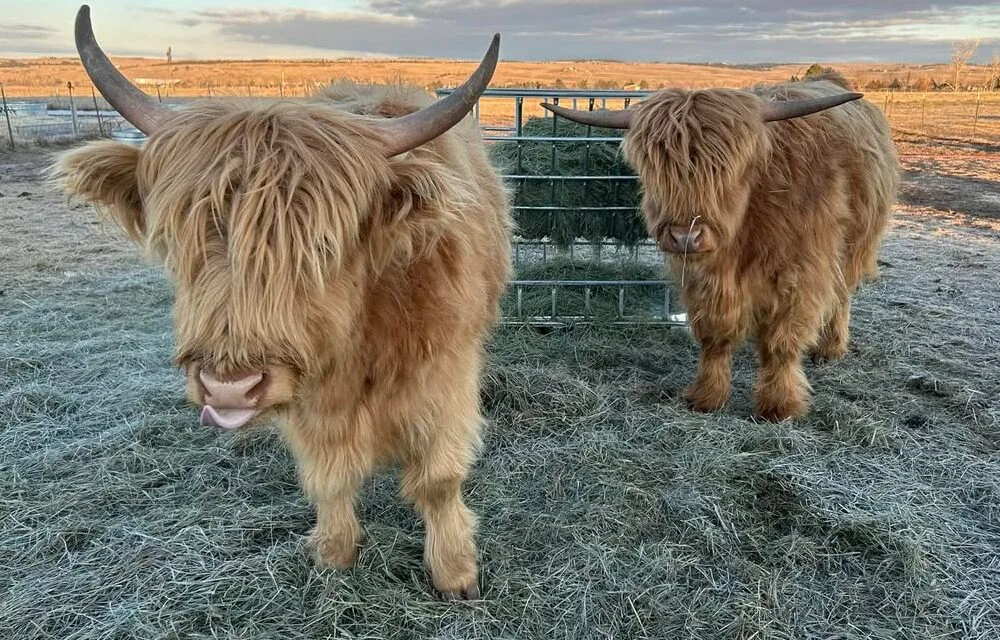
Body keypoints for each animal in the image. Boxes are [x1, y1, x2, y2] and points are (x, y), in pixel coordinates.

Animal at [52, 5, 512, 599]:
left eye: (322, 245)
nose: (229, 387)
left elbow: (437, 480)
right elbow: (327, 476)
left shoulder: (445, 381)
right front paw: (334, 553)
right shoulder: (307, 402)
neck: (357, 346)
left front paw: (455, 573)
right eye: (179, 238)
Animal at [542, 72, 899, 421]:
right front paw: (707, 395)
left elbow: (782, 342)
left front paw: (779, 405)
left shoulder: (801, 272)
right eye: (655, 168)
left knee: (842, 295)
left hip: (856, 246)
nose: (685, 236)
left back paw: (830, 348)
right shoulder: (704, 278)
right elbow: (714, 335)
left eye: (726, 168)